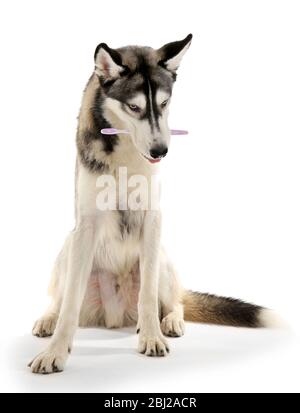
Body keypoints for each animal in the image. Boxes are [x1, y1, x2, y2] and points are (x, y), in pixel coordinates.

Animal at [29, 33, 278, 372]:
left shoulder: (152, 218)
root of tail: (114, 315)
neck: (124, 149)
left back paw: (171, 321)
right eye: (134, 106)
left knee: (175, 302)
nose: (161, 150)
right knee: (60, 298)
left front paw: (151, 336)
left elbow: (147, 296)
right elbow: (69, 305)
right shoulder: (87, 222)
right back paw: (48, 319)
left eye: (163, 103)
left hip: (161, 255)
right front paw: (55, 351)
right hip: (70, 246)